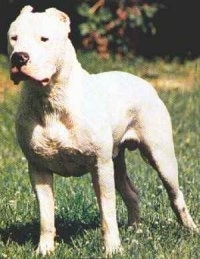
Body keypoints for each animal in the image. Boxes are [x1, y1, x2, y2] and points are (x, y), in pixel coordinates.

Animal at [7, 6, 198, 258]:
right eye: (14, 38)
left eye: (44, 39)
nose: (19, 57)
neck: (51, 98)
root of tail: (143, 82)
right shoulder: (38, 169)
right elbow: (46, 215)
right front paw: (44, 249)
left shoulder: (100, 165)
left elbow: (107, 212)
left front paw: (112, 248)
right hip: (117, 161)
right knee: (131, 193)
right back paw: (135, 230)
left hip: (161, 157)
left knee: (175, 195)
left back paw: (190, 229)